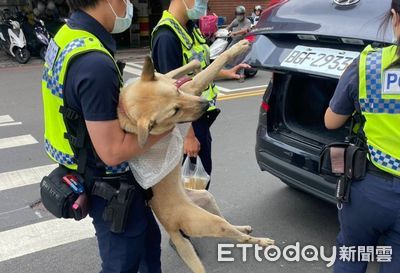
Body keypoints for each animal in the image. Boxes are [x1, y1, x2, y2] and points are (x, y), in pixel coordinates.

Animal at [117, 39, 274, 272]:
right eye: (174, 111)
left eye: (177, 94)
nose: (205, 104)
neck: (125, 110)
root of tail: (170, 227)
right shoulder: (193, 87)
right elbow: (215, 64)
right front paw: (236, 48)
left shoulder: (173, 80)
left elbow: (184, 68)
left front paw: (196, 64)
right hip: (207, 222)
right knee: (236, 236)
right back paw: (261, 241)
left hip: (206, 198)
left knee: (227, 221)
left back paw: (242, 227)